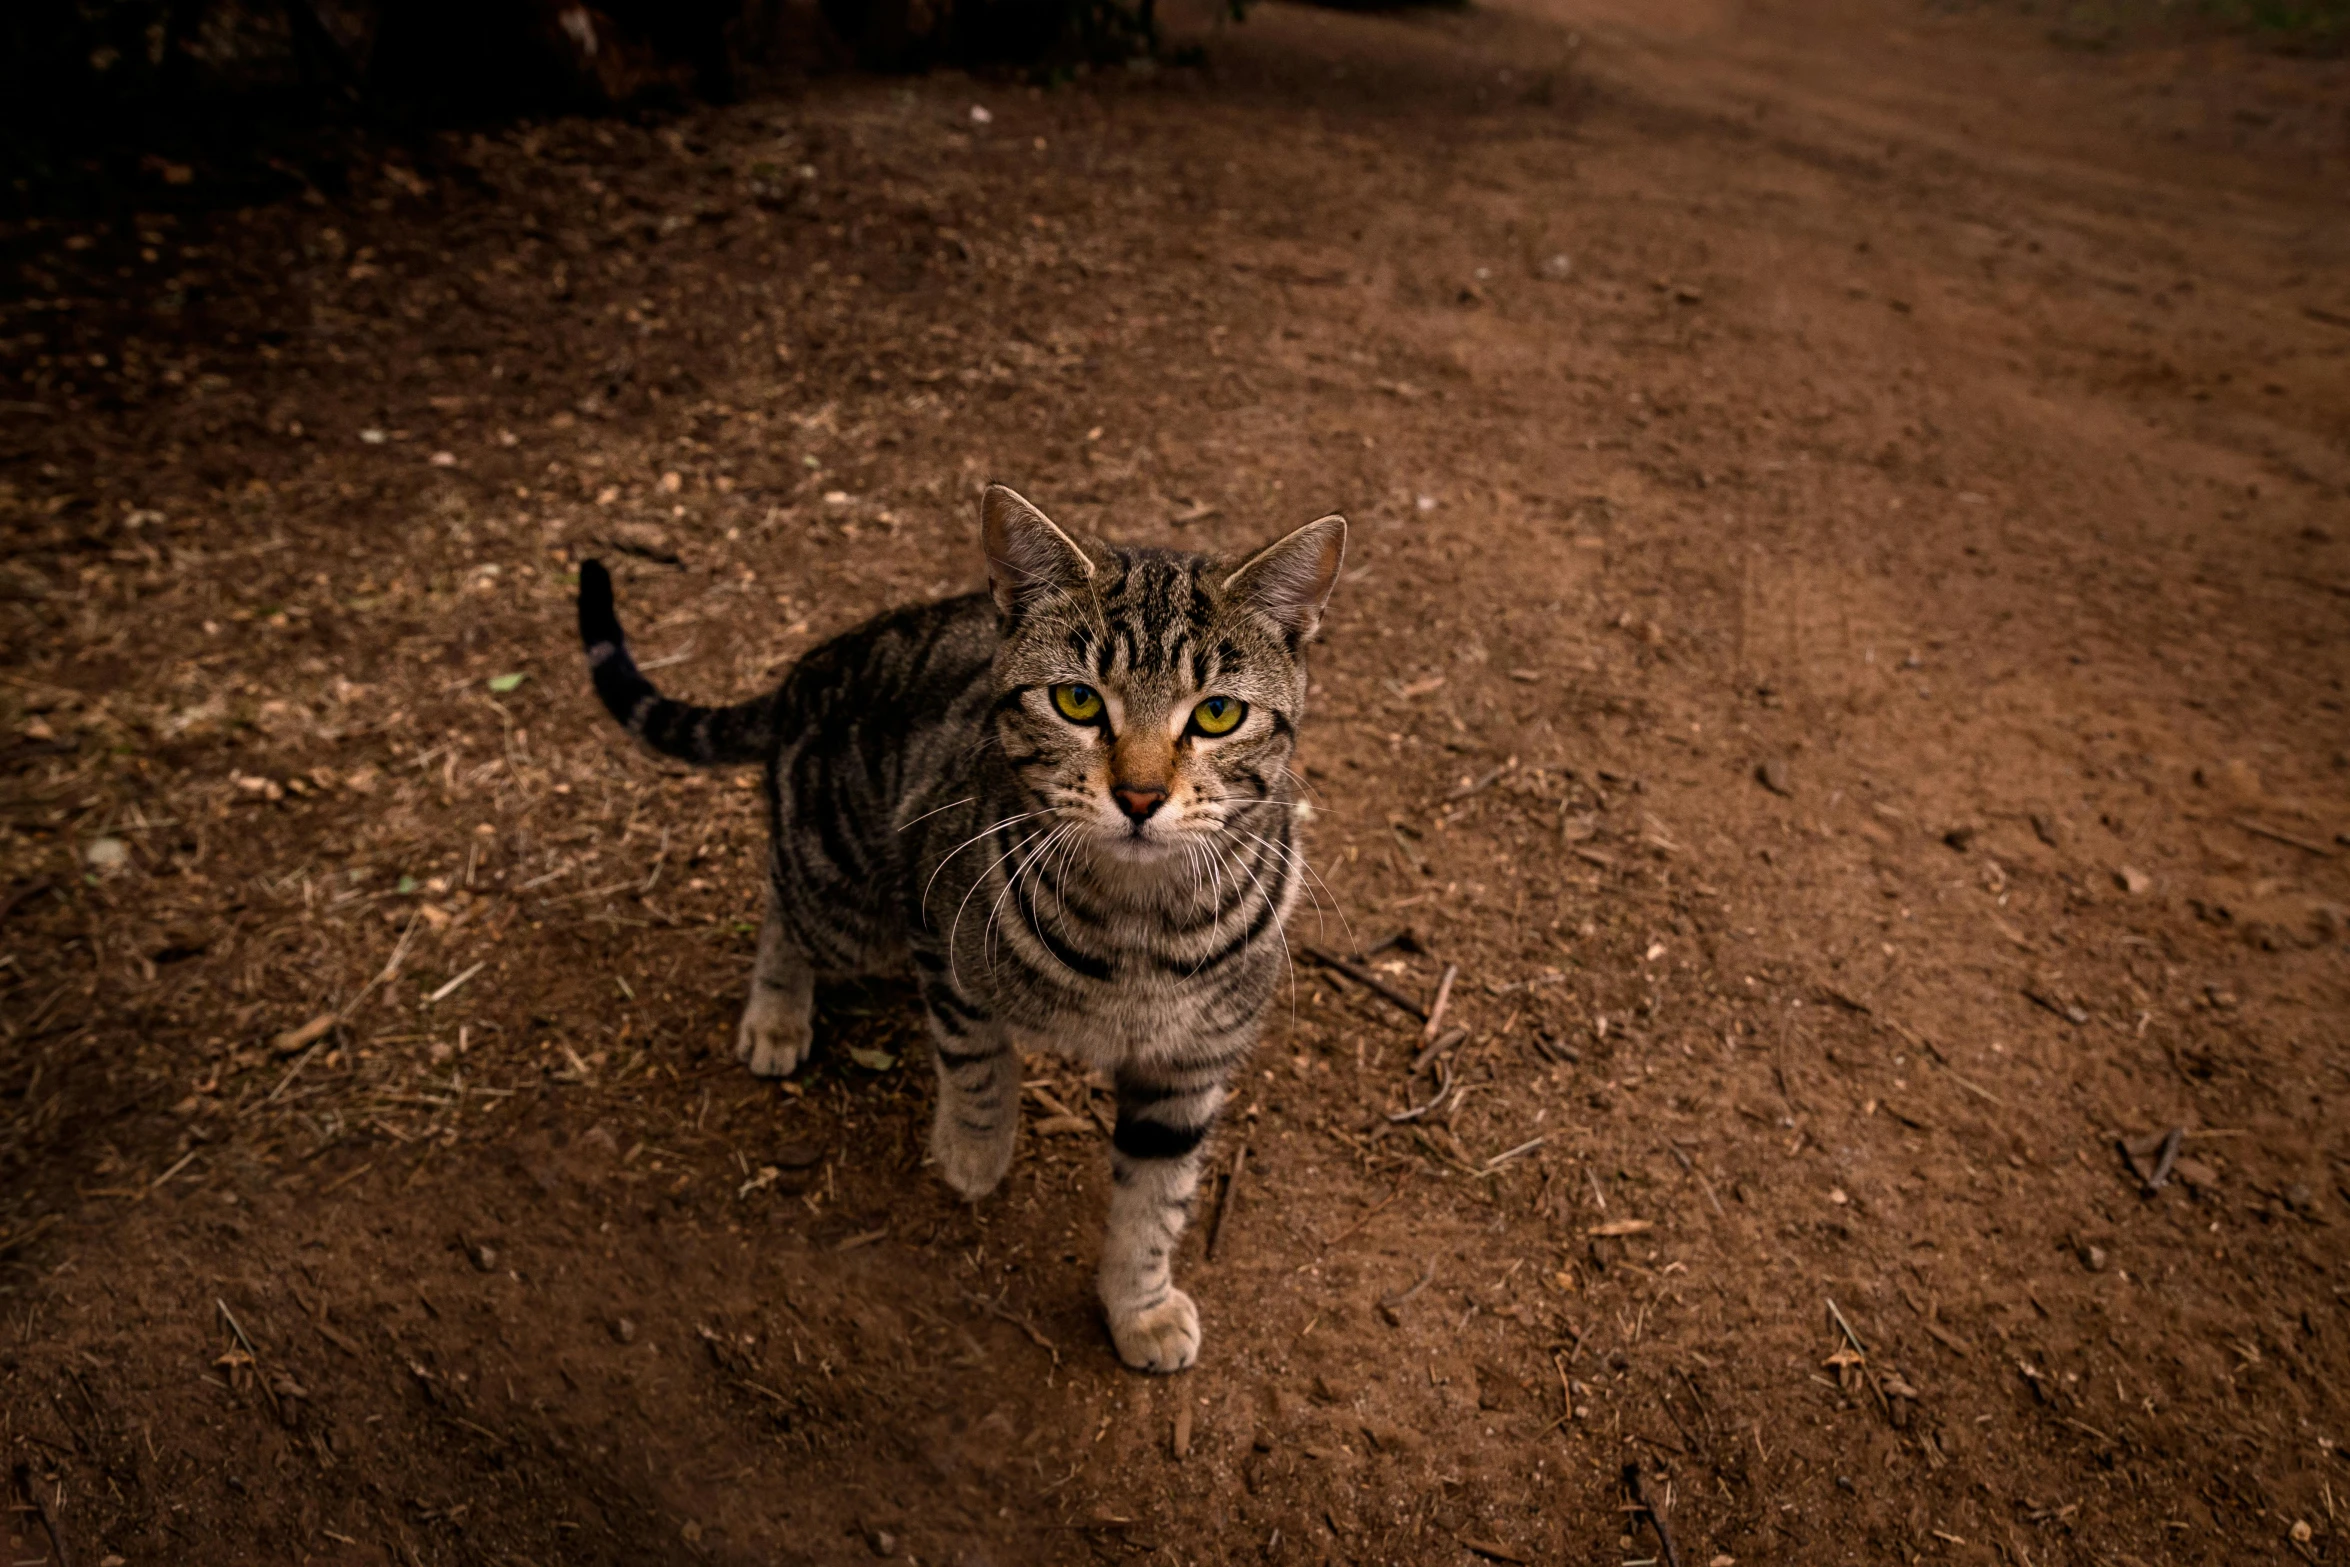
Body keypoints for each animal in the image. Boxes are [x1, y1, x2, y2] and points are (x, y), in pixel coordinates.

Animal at [573, 486, 1344, 1372]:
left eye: (1217, 713)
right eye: (1077, 700)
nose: (1141, 796)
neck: (1137, 924)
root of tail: (813, 665)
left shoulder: (1191, 1064)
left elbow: (1156, 1202)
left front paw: (1139, 1305)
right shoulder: (938, 935)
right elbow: (976, 1061)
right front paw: (975, 1152)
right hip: (847, 904)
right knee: (779, 896)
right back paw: (776, 1012)